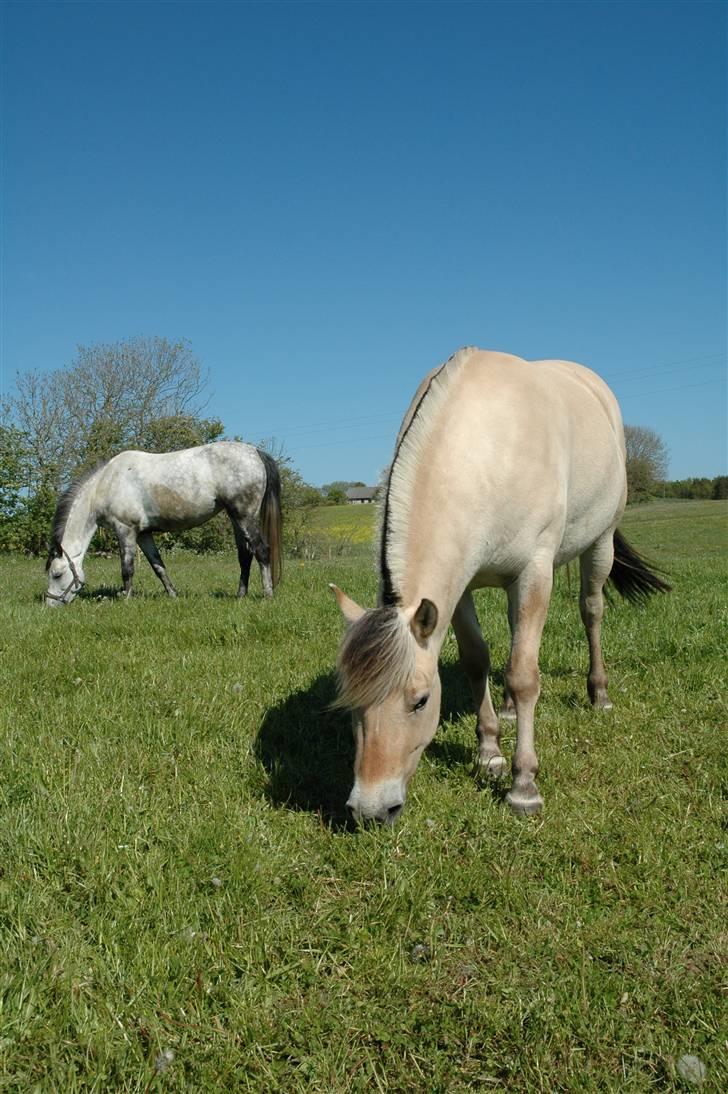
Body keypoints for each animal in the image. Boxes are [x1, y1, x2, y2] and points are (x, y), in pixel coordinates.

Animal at [45, 437, 282, 608]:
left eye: (57, 574)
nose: (49, 605)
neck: (106, 484)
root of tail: (255, 452)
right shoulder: (143, 534)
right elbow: (158, 566)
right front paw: (173, 595)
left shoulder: (125, 530)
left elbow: (127, 569)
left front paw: (126, 600)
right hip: (235, 519)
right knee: (245, 556)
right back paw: (240, 596)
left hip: (245, 517)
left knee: (262, 551)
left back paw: (267, 595)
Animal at [332, 347, 665, 822]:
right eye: (351, 703)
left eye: (420, 700)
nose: (372, 809)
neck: (487, 453)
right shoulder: (459, 591)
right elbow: (478, 660)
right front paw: (489, 751)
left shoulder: (534, 573)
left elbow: (524, 675)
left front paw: (523, 785)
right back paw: (507, 711)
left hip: (599, 544)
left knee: (591, 610)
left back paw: (598, 693)